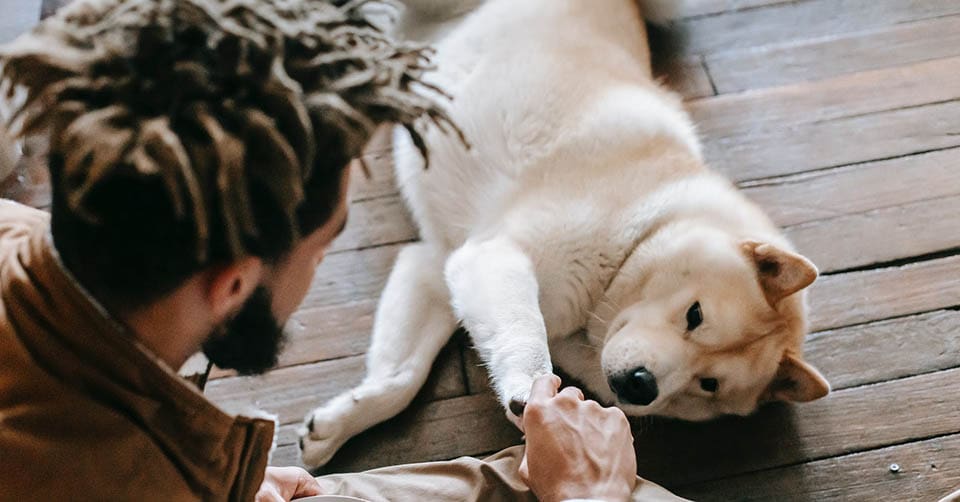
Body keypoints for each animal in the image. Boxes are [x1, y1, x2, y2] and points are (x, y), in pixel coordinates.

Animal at [298, 0, 824, 466]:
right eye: (695, 315)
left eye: (708, 384)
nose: (641, 385)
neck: (634, 236)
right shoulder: (495, 255)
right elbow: (524, 337)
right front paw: (528, 391)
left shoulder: (439, 264)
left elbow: (401, 377)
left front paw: (338, 424)